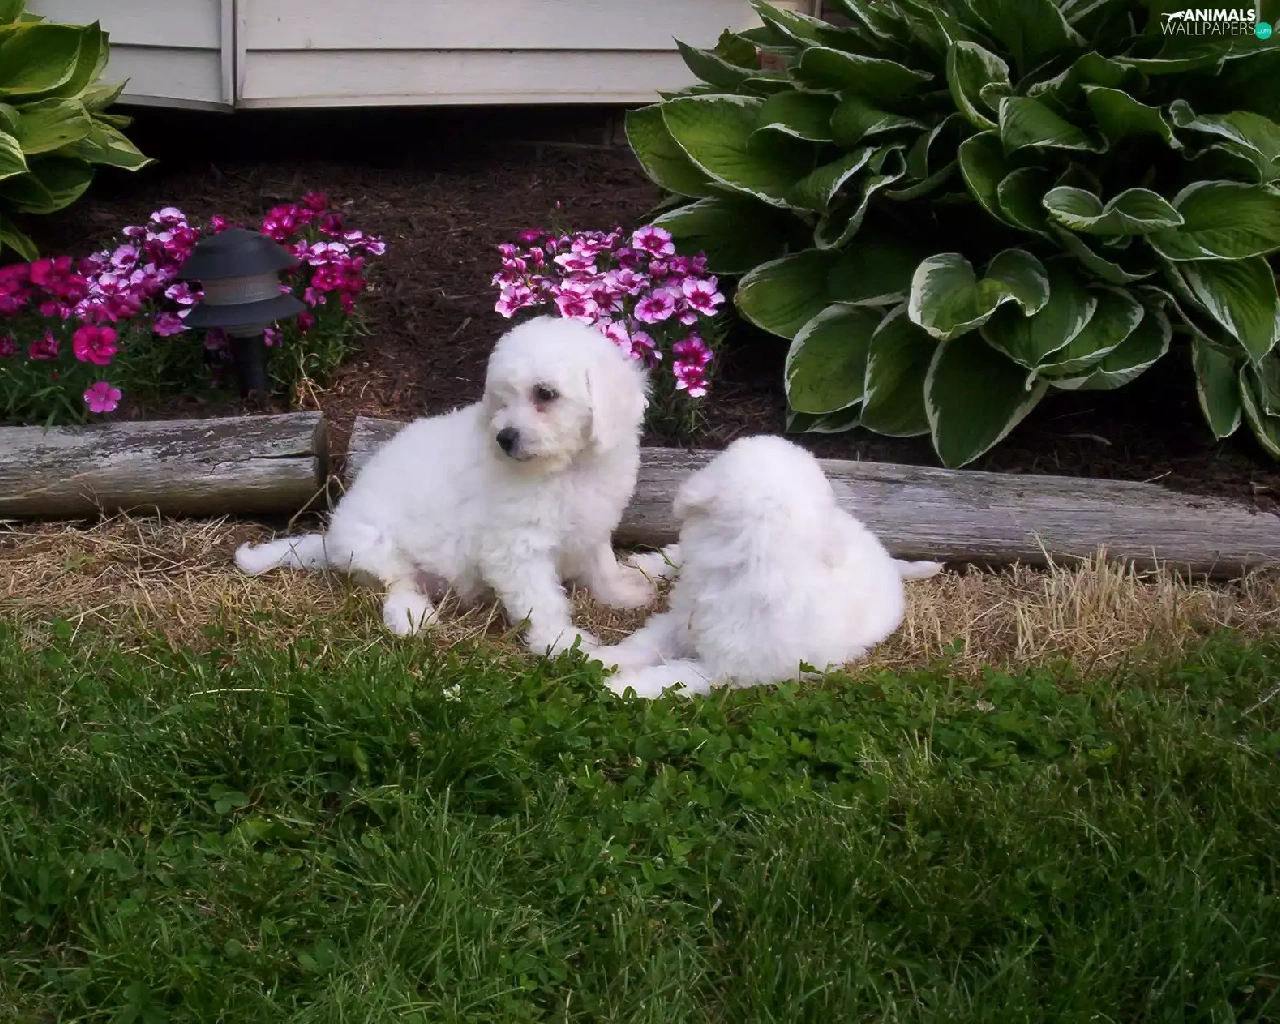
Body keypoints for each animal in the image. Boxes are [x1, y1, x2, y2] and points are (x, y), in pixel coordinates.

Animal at [235, 315, 656, 653]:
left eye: (545, 394)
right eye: (502, 401)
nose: (504, 438)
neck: (568, 468)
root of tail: (332, 542)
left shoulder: (594, 522)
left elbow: (602, 563)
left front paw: (623, 593)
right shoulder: (516, 548)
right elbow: (541, 600)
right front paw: (560, 642)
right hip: (373, 543)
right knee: (395, 584)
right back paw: (411, 616)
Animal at [596, 435, 943, 698]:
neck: (754, 564)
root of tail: (886, 558)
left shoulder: (719, 669)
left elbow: (670, 678)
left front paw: (620, 687)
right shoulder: (680, 621)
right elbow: (643, 643)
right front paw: (602, 657)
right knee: (676, 554)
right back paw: (646, 564)